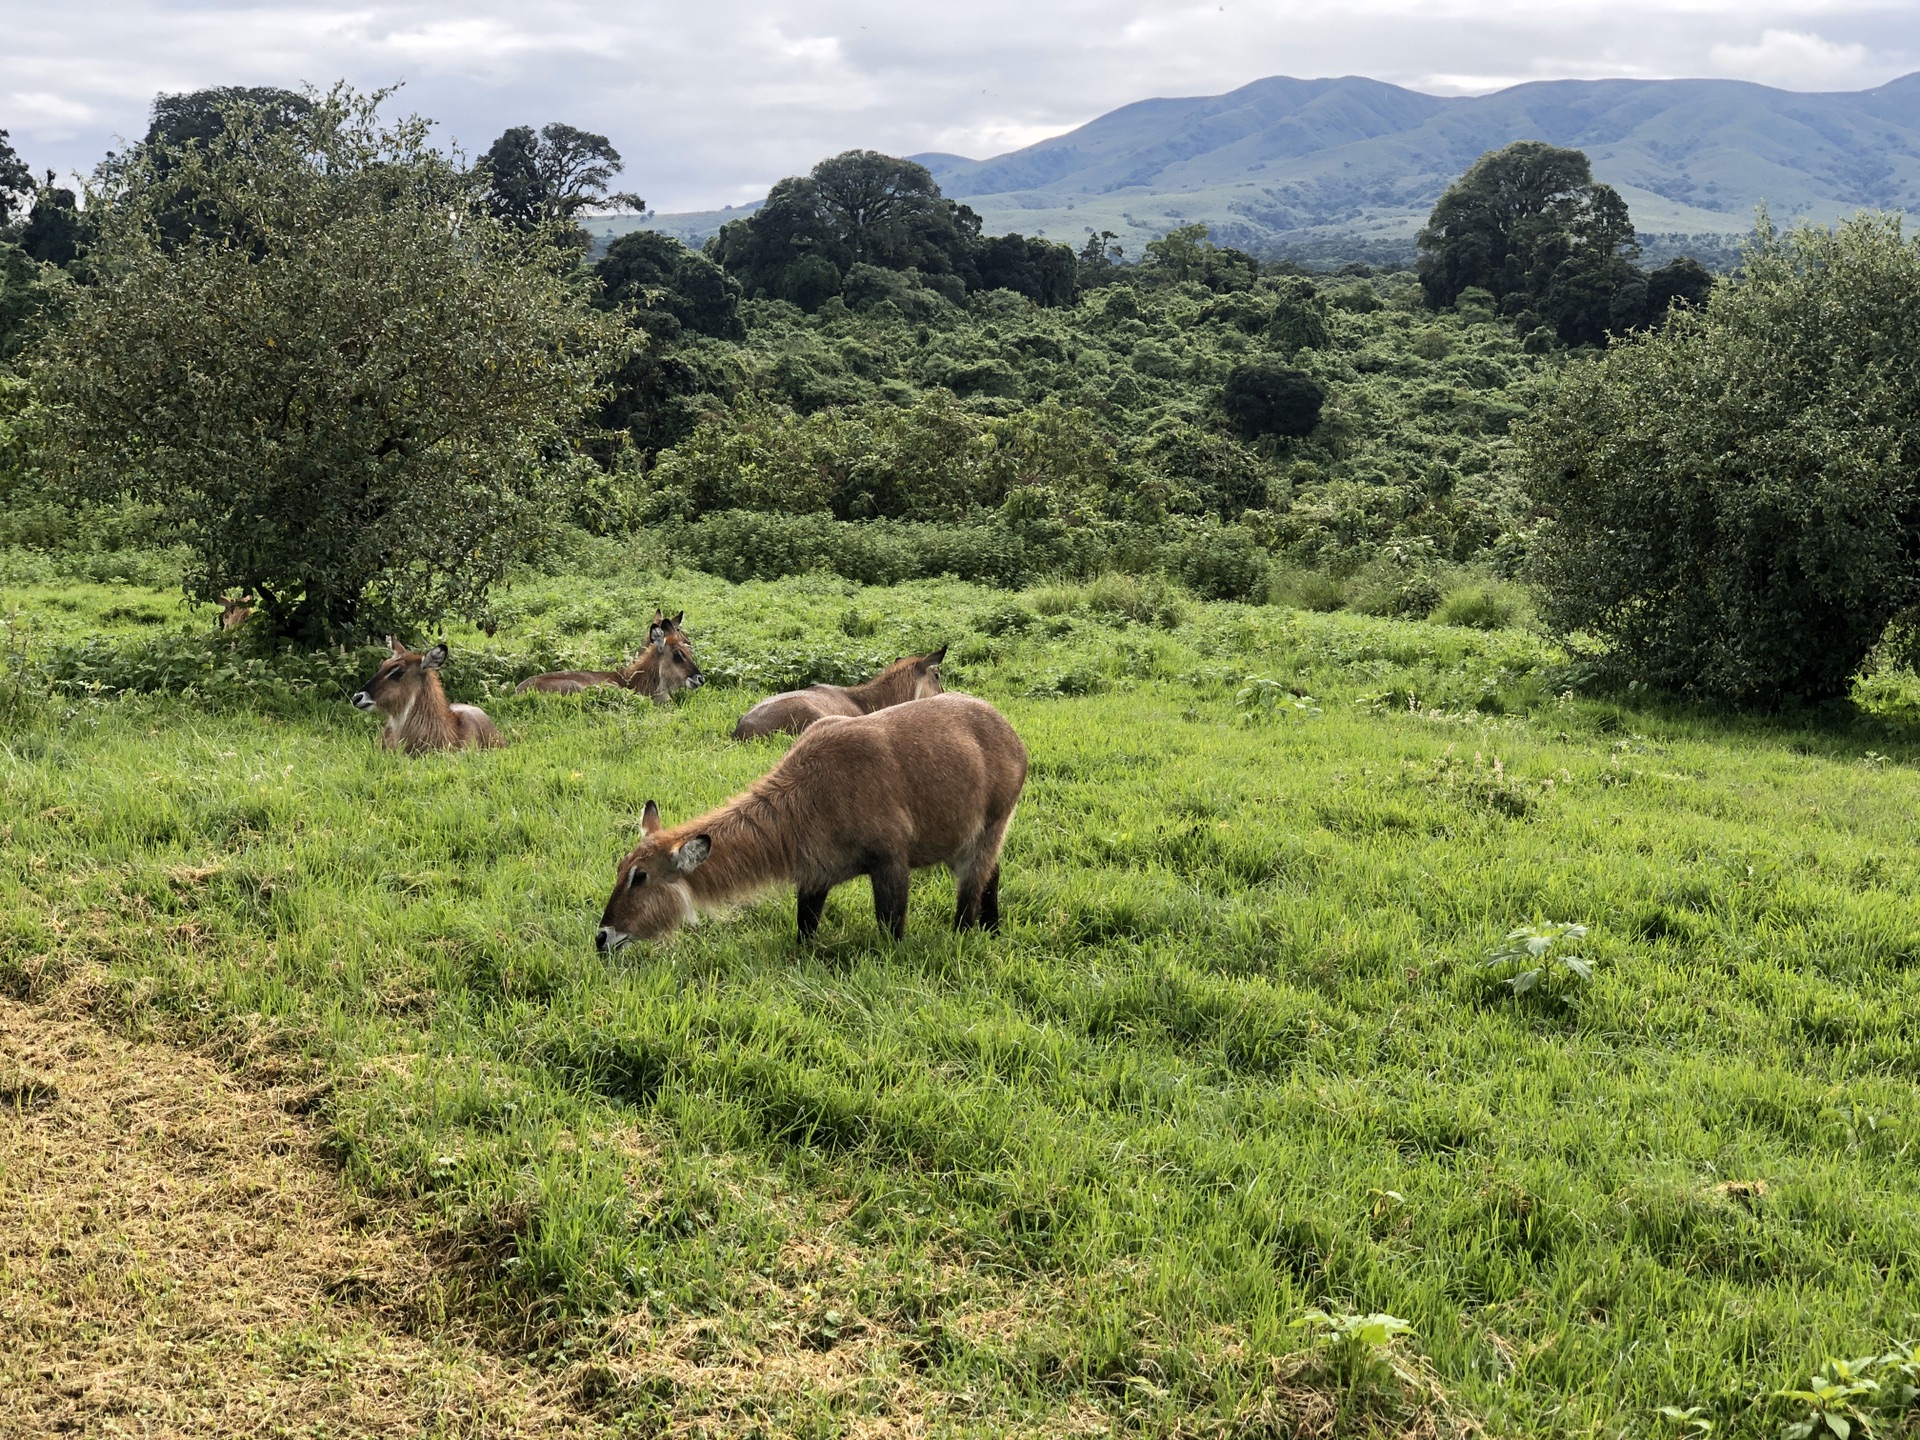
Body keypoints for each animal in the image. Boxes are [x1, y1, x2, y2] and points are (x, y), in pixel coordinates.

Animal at [595, 695, 1029, 952]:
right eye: (619, 868)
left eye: (640, 876)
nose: (602, 936)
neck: (809, 794)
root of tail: (1009, 730)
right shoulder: (817, 874)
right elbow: (805, 926)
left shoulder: (890, 862)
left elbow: (891, 927)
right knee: (993, 874)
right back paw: (993, 930)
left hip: (988, 829)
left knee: (970, 894)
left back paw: (968, 935)